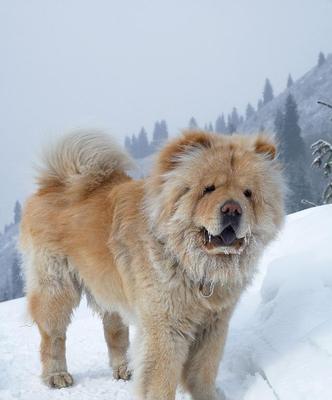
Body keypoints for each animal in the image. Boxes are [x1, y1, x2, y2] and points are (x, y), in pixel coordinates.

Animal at [19, 130, 286, 398]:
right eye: (208, 189)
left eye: (248, 193)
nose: (232, 209)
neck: (193, 264)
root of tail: (55, 182)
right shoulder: (165, 326)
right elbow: (161, 377)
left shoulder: (213, 325)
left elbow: (203, 371)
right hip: (55, 289)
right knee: (53, 336)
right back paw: (57, 376)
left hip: (108, 287)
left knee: (114, 330)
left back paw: (124, 369)